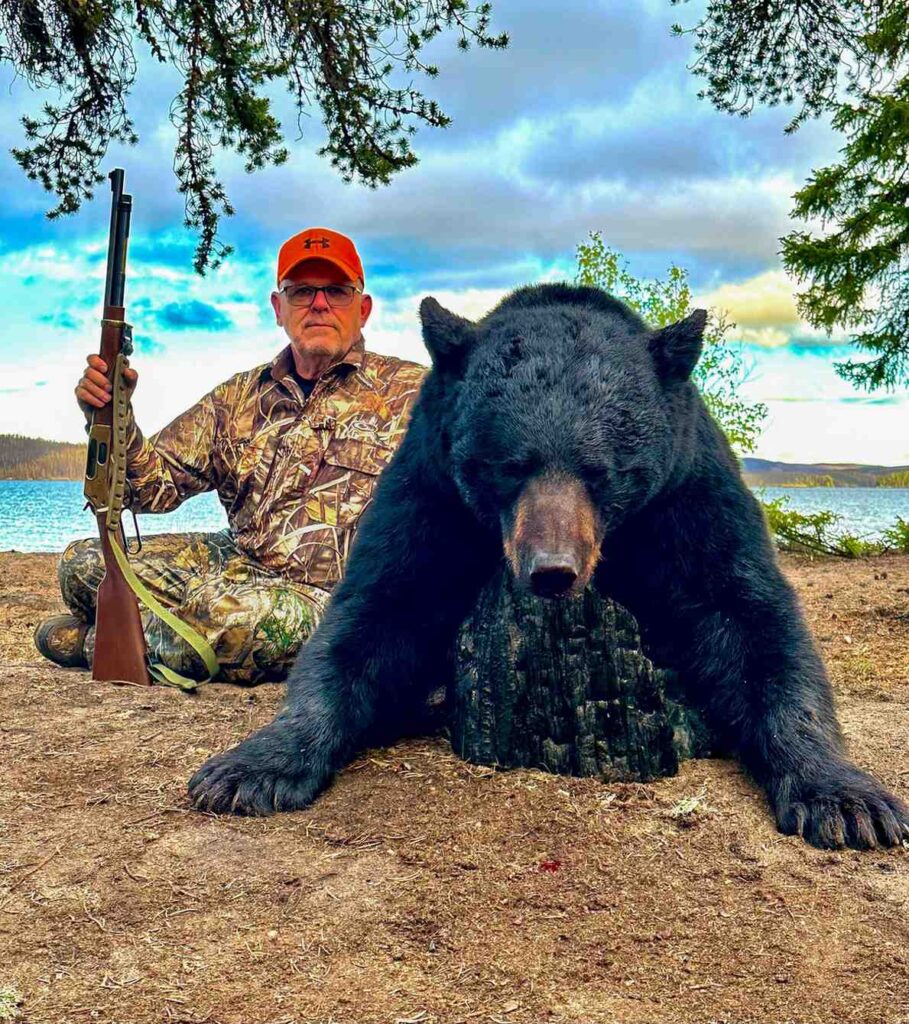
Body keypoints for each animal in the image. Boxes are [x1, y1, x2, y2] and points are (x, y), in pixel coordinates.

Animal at [188, 284, 909, 850]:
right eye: (509, 466)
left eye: (601, 471)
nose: (552, 569)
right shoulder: (430, 488)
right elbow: (375, 609)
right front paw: (247, 770)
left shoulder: (687, 490)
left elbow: (748, 614)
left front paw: (849, 803)